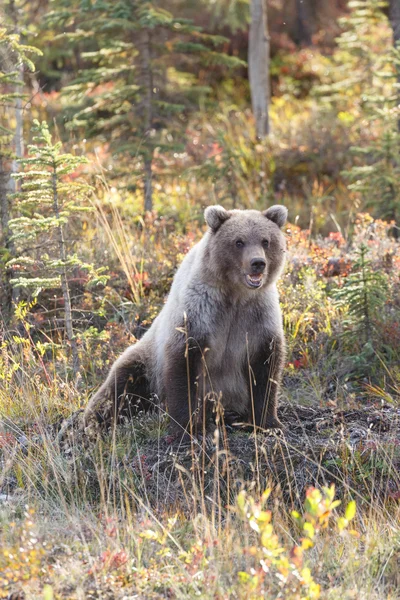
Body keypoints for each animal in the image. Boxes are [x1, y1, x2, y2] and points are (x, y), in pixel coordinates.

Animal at [85, 205, 288, 436]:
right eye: (239, 241)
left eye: (265, 241)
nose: (258, 263)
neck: (235, 296)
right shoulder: (200, 313)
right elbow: (185, 365)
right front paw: (190, 426)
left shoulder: (258, 317)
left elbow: (266, 369)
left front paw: (267, 423)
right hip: (145, 365)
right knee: (120, 388)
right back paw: (94, 422)